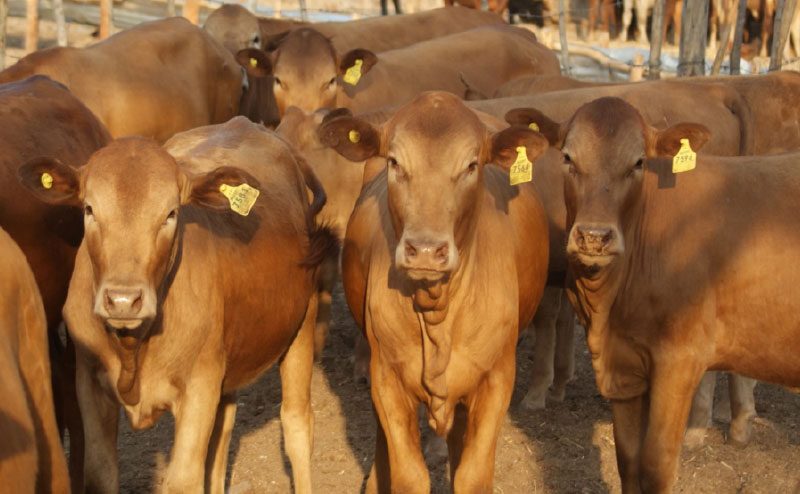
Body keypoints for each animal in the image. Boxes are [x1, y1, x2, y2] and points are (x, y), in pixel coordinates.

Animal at [18, 116, 338, 493]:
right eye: (89, 209)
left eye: (170, 213)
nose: (123, 300)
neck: (135, 345)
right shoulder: (90, 380)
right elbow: (101, 473)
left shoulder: (199, 387)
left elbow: (184, 478)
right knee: (223, 433)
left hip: (300, 327)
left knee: (297, 425)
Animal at [318, 91, 549, 491]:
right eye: (395, 162)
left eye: (472, 165)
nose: (425, 250)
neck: (438, 311)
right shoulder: (387, 378)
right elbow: (409, 473)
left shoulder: (497, 379)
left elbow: (473, 475)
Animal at [515, 95, 800, 492]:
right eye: (568, 158)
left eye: (638, 162)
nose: (594, 236)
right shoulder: (624, 364)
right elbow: (628, 459)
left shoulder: (679, 361)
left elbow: (656, 463)